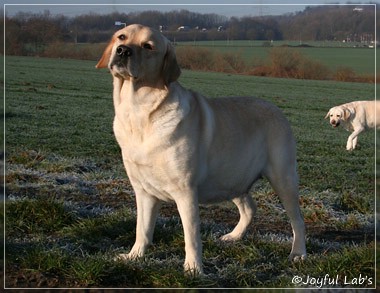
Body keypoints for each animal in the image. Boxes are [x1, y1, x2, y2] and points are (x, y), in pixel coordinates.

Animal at [96, 24, 308, 272]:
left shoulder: (185, 191)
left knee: (298, 221)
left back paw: (298, 253)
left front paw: (193, 269)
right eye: (122, 37)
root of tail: (276, 109)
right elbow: (142, 229)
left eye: (148, 46)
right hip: (231, 177)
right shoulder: (143, 191)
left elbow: (191, 235)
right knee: (249, 208)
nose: (122, 50)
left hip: (282, 178)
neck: (139, 113)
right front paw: (134, 256)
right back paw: (234, 236)